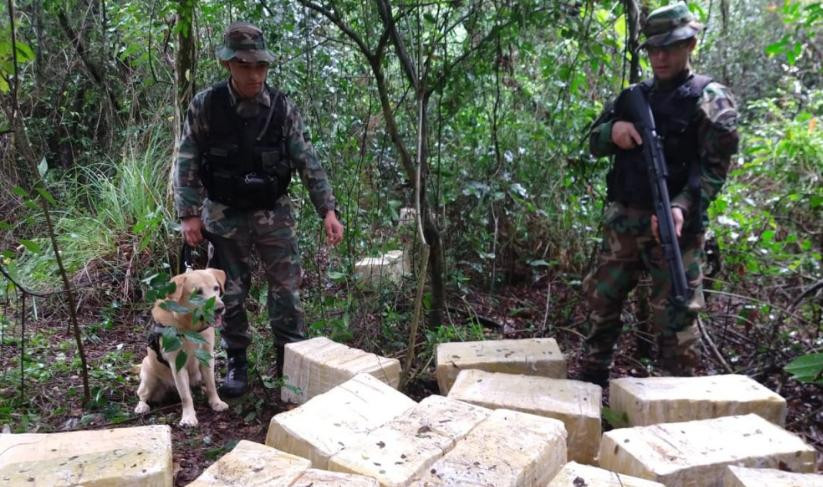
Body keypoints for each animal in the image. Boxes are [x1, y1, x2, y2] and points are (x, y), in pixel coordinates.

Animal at [135, 270, 230, 428]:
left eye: (216, 288)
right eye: (198, 292)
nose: (220, 308)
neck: (190, 327)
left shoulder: (207, 357)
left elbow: (211, 384)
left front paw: (216, 402)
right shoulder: (177, 364)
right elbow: (186, 396)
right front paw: (189, 417)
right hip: (149, 374)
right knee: (141, 394)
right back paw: (141, 406)